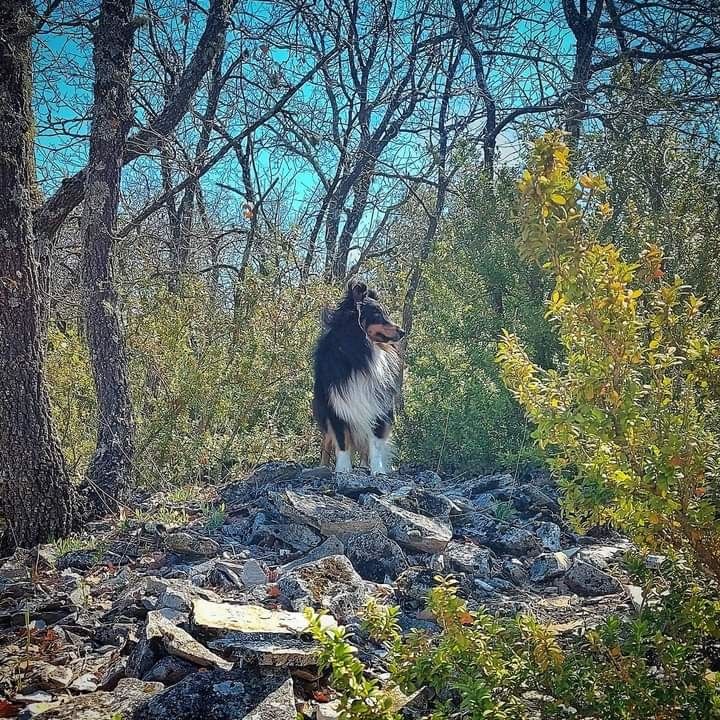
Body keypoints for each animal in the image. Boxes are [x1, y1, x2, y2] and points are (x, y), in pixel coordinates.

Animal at [313, 280, 405, 475]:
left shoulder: (379, 405)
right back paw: (323, 466)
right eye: (377, 314)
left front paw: (377, 470)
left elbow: (375, 443)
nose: (402, 331)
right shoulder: (336, 406)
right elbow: (341, 442)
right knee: (326, 441)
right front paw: (343, 469)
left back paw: (363, 465)